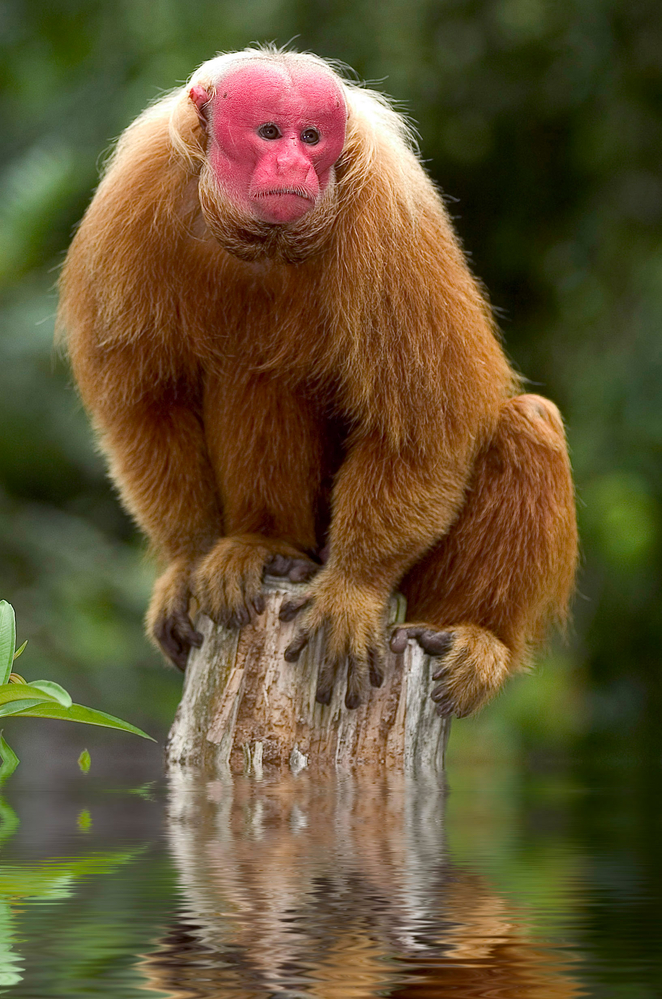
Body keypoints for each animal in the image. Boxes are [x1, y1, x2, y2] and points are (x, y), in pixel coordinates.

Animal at [57, 47, 577, 718]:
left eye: (311, 137)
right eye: (269, 133)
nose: (294, 165)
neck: (263, 241)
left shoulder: (392, 217)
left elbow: (425, 430)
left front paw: (352, 589)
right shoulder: (130, 203)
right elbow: (144, 408)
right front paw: (184, 561)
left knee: (527, 422)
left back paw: (477, 635)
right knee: (255, 375)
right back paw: (267, 546)